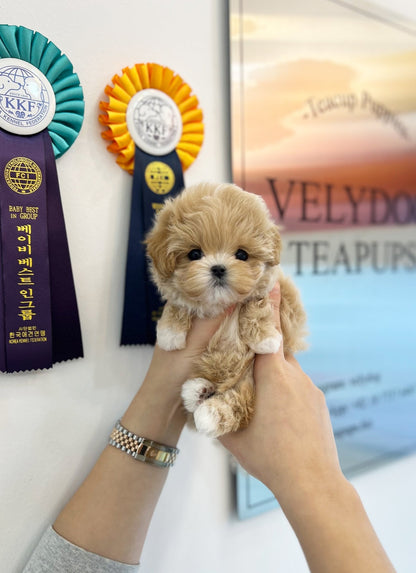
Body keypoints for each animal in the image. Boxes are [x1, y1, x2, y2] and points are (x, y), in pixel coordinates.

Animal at [145, 181, 306, 436]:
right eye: (194, 254)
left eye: (242, 254)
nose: (219, 268)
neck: (218, 304)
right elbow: (178, 304)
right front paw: (169, 333)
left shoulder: (280, 297)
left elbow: (255, 304)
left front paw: (265, 338)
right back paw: (197, 391)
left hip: (248, 382)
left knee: (239, 404)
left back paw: (209, 413)